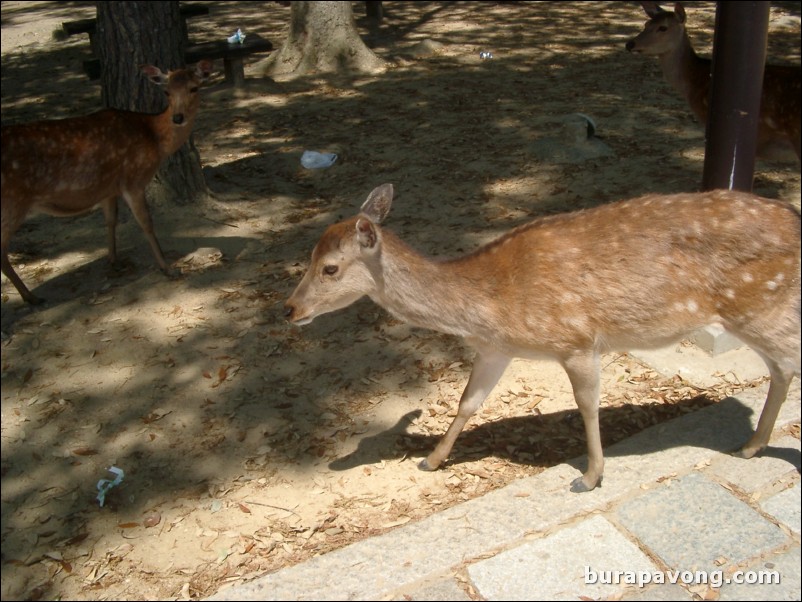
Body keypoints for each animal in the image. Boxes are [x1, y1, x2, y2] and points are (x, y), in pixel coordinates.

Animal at [0, 59, 212, 304]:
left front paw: (113, 260)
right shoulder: (133, 179)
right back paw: (31, 297)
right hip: (12, 203)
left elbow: (111, 220)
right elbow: (146, 223)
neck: (154, 137)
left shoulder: (108, 188)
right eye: (167, 91)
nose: (177, 117)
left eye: (193, 88)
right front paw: (168, 268)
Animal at [288, 184, 800, 492]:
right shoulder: (495, 349)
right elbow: (468, 402)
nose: (290, 309)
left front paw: (589, 476)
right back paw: (751, 445)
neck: (489, 305)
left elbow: (588, 405)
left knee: (788, 362)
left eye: (329, 268)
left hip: (760, 304)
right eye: (308, 256)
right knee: (781, 369)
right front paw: (431, 461)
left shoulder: (576, 339)